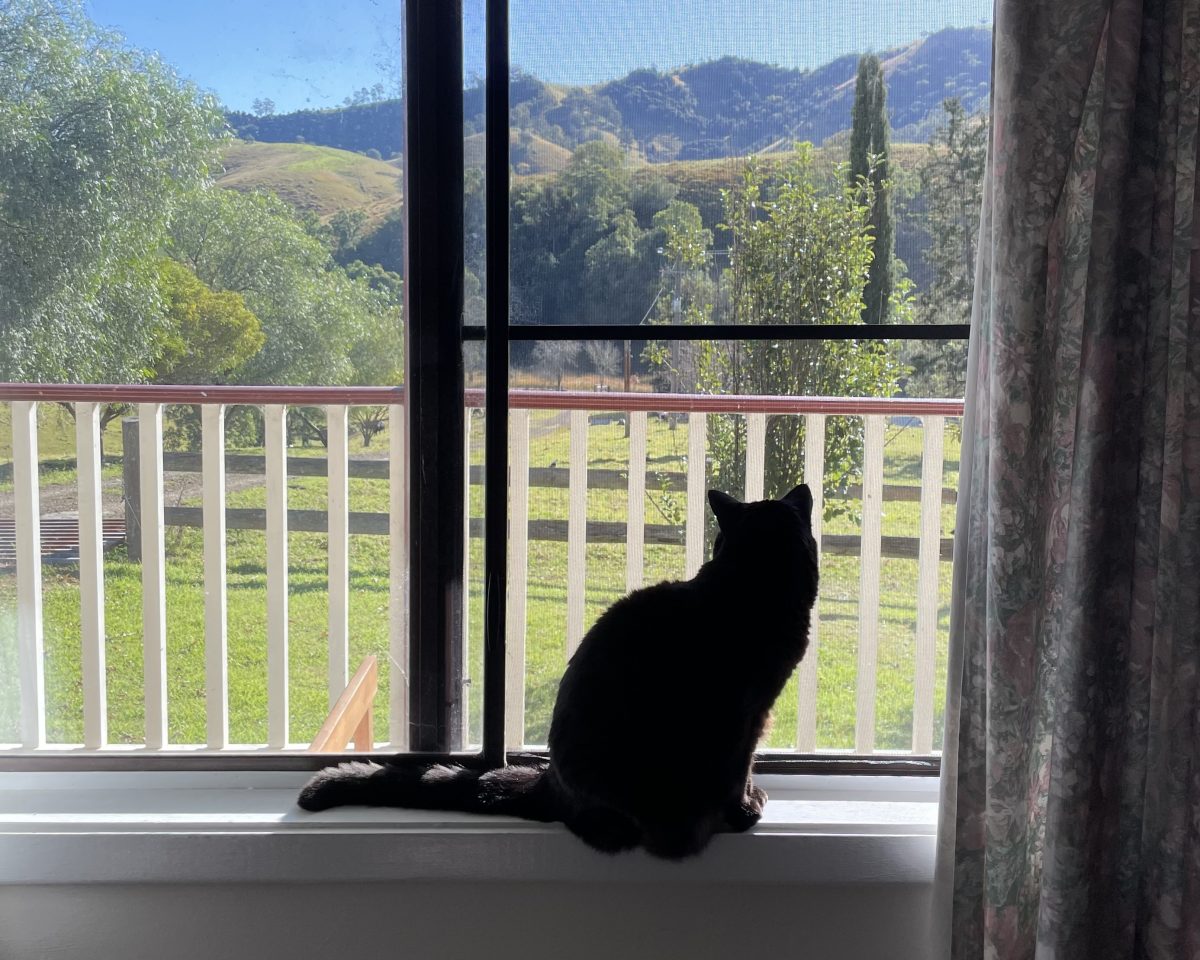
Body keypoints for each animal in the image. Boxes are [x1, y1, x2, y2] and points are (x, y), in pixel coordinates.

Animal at [300, 484, 825, 859]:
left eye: (717, 540)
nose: (712, 547)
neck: (750, 586)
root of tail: (547, 782)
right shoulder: (748, 715)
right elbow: (740, 768)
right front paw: (745, 808)